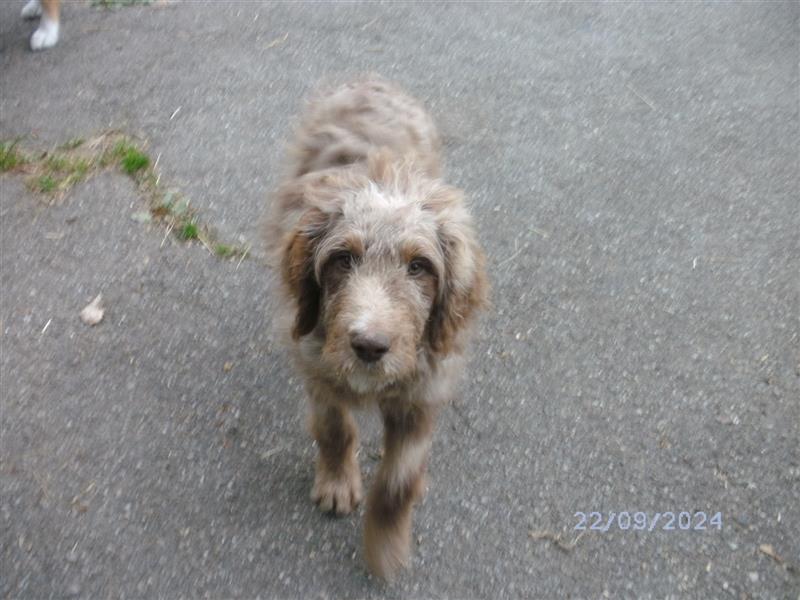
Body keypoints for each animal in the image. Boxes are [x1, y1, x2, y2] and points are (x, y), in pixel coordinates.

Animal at [264, 77, 488, 580]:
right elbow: (334, 430)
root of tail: (369, 80)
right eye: (342, 258)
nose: (369, 346)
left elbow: (397, 483)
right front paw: (336, 483)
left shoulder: (422, 394)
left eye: (420, 266)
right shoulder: (318, 364)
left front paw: (385, 548)